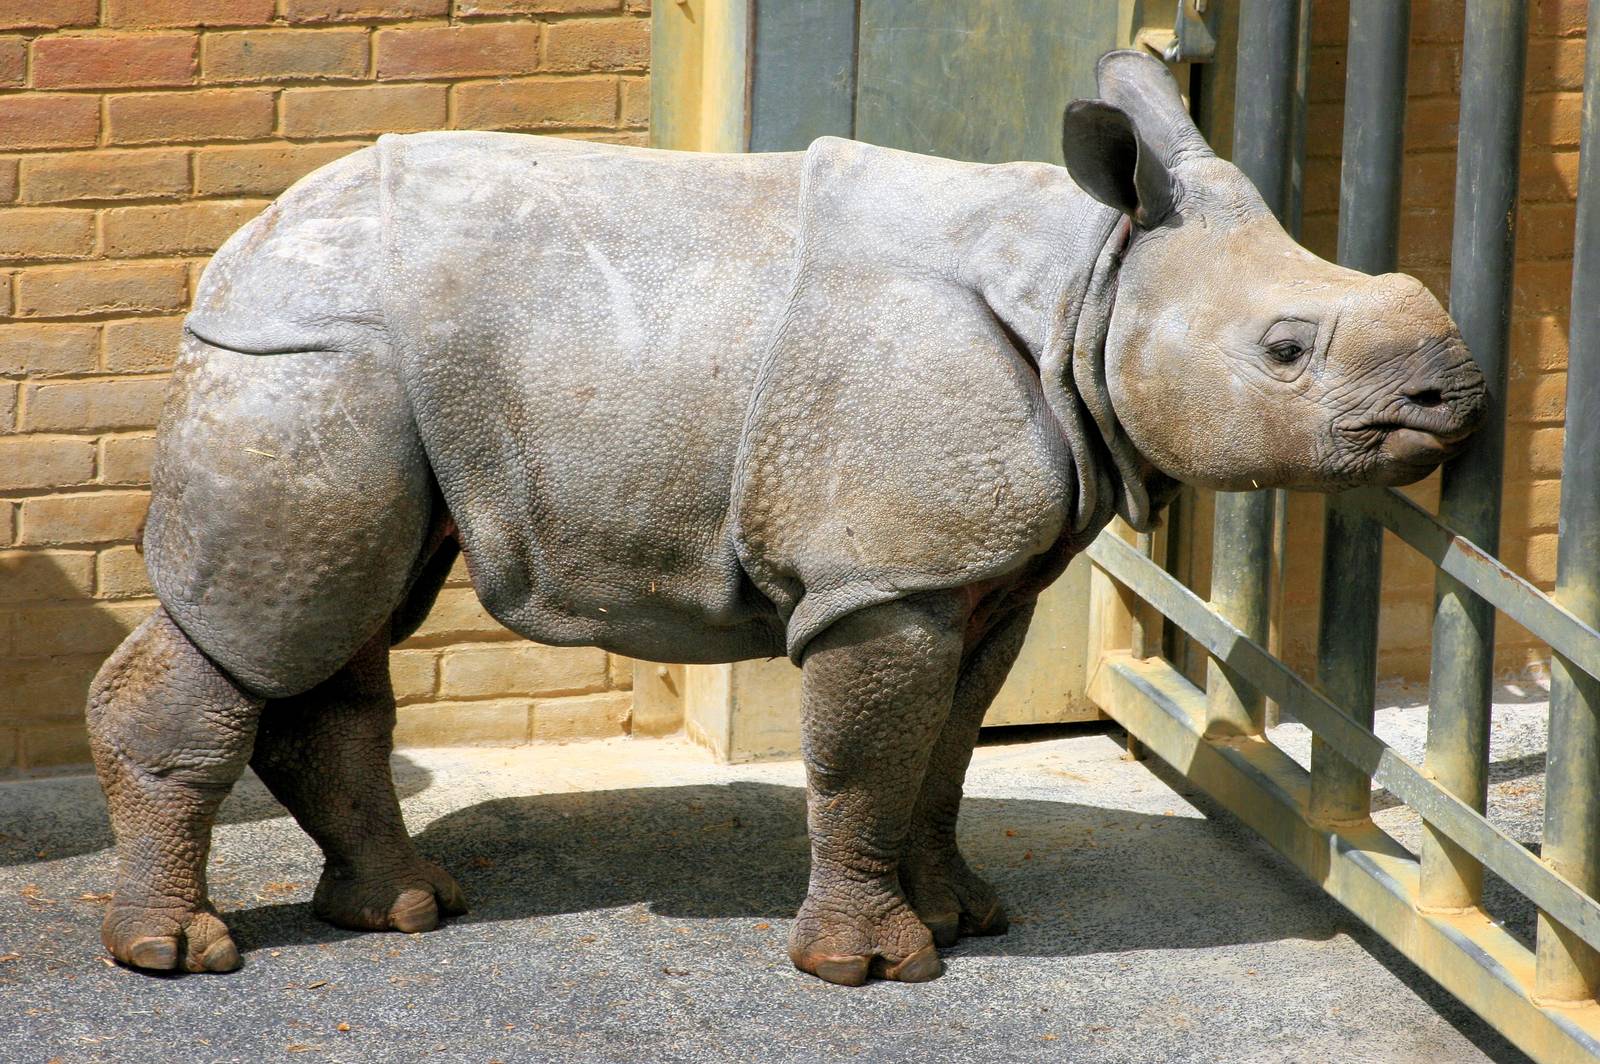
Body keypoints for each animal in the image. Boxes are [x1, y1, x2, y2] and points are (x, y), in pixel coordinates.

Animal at [86, 50, 1485, 985]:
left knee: (345, 619)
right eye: (1286, 350)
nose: (1451, 391)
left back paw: (410, 910)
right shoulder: (886, 573)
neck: (1090, 285)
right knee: (274, 622)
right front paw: (876, 971)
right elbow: (866, 757)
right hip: (311, 355)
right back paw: (179, 954)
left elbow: (945, 753)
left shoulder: (976, 573)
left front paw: (971, 916)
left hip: (370, 365)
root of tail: (234, 253)